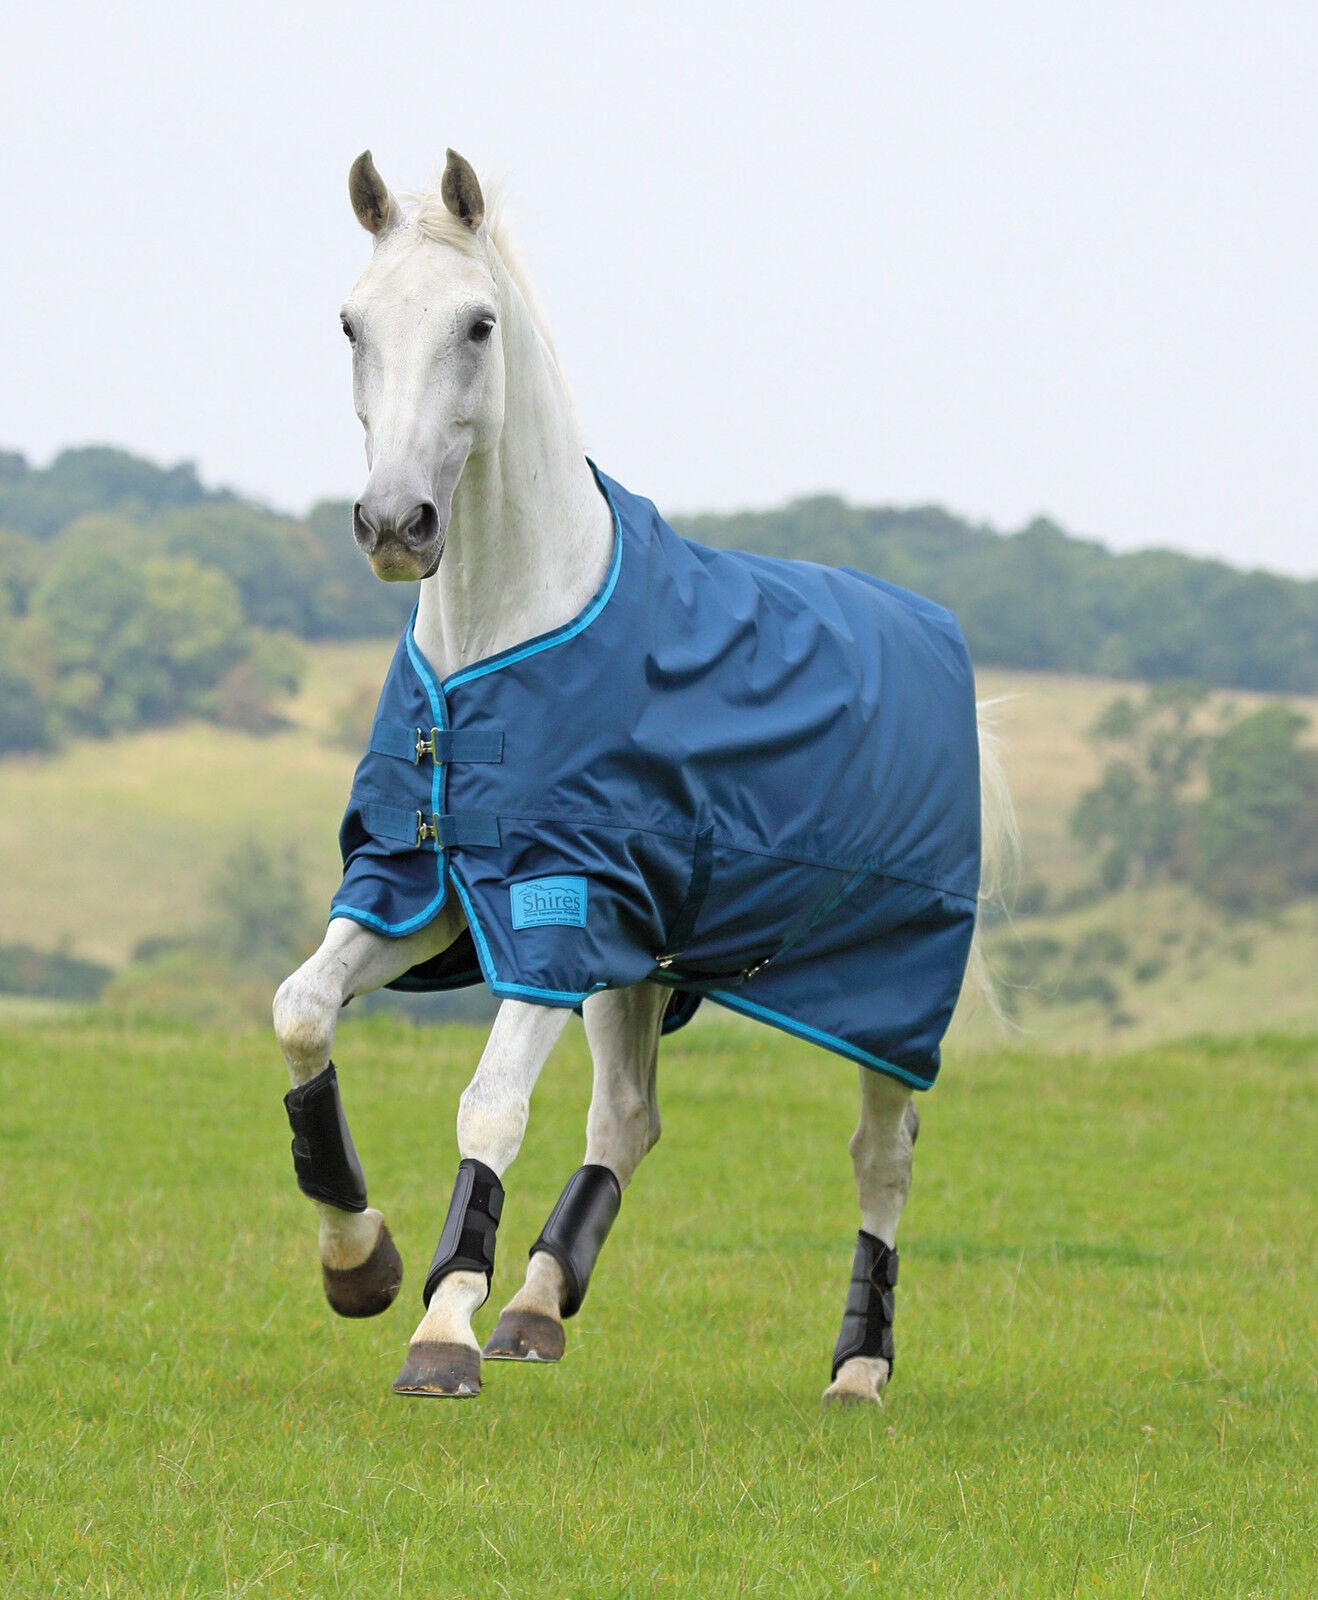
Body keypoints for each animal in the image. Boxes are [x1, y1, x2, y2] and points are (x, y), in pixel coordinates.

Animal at [273, 148, 1013, 1406]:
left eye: (477, 324)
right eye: (350, 322)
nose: (393, 524)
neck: (497, 646)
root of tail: (939, 638)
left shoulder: (553, 912)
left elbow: (489, 1103)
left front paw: (441, 1330)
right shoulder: (423, 893)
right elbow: (302, 1012)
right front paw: (360, 1263)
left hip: (888, 991)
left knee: (882, 1157)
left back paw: (858, 1367)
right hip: (639, 963)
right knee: (626, 1117)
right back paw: (536, 1306)